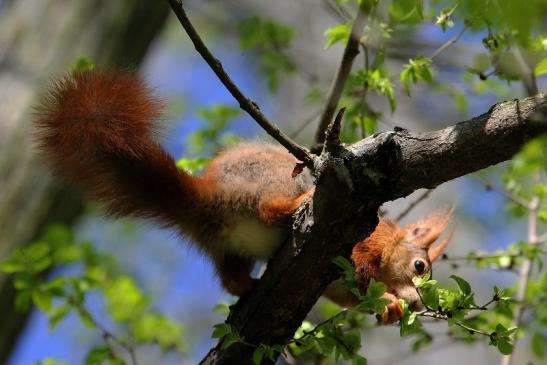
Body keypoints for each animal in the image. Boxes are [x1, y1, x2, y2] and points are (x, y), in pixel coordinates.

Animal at [33, 69, 454, 322]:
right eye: (420, 266)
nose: (421, 304)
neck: (390, 244)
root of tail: (206, 198)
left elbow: (343, 295)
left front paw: (388, 309)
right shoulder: (367, 239)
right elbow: (358, 269)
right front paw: (383, 295)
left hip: (225, 247)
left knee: (230, 278)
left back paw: (247, 286)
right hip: (273, 183)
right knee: (268, 209)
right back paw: (295, 205)